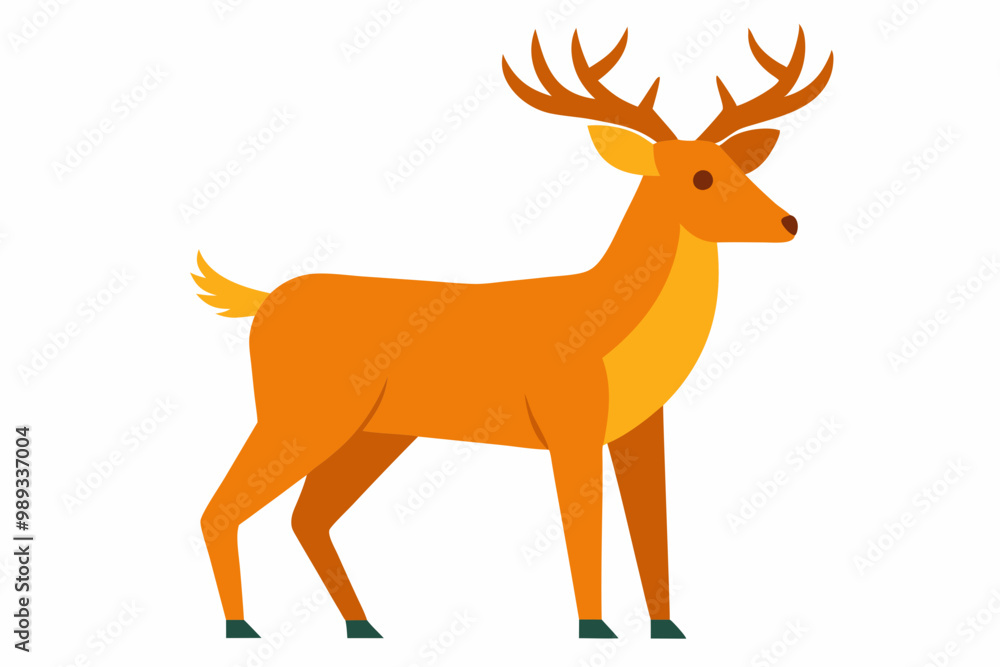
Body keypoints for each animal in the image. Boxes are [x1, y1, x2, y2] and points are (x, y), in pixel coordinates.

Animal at [194, 26, 832, 641]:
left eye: (739, 166)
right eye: (700, 177)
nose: (789, 222)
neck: (613, 326)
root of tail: (262, 302)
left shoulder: (642, 427)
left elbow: (654, 530)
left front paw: (667, 629)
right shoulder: (569, 424)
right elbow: (585, 531)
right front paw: (595, 630)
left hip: (374, 435)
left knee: (307, 517)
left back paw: (364, 626)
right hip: (299, 415)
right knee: (221, 508)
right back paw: (240, 627)